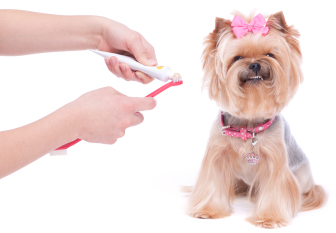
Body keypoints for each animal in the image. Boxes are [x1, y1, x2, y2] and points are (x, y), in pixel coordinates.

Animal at [186, 11, 326, 228]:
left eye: (270, 55)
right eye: (237, 58)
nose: (255, 64)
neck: (247, 126)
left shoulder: (275, 162)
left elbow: (275, 192)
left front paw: (270, 218)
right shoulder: (217, 156)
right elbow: (213, 183)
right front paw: (208, 211)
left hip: (301, 176)